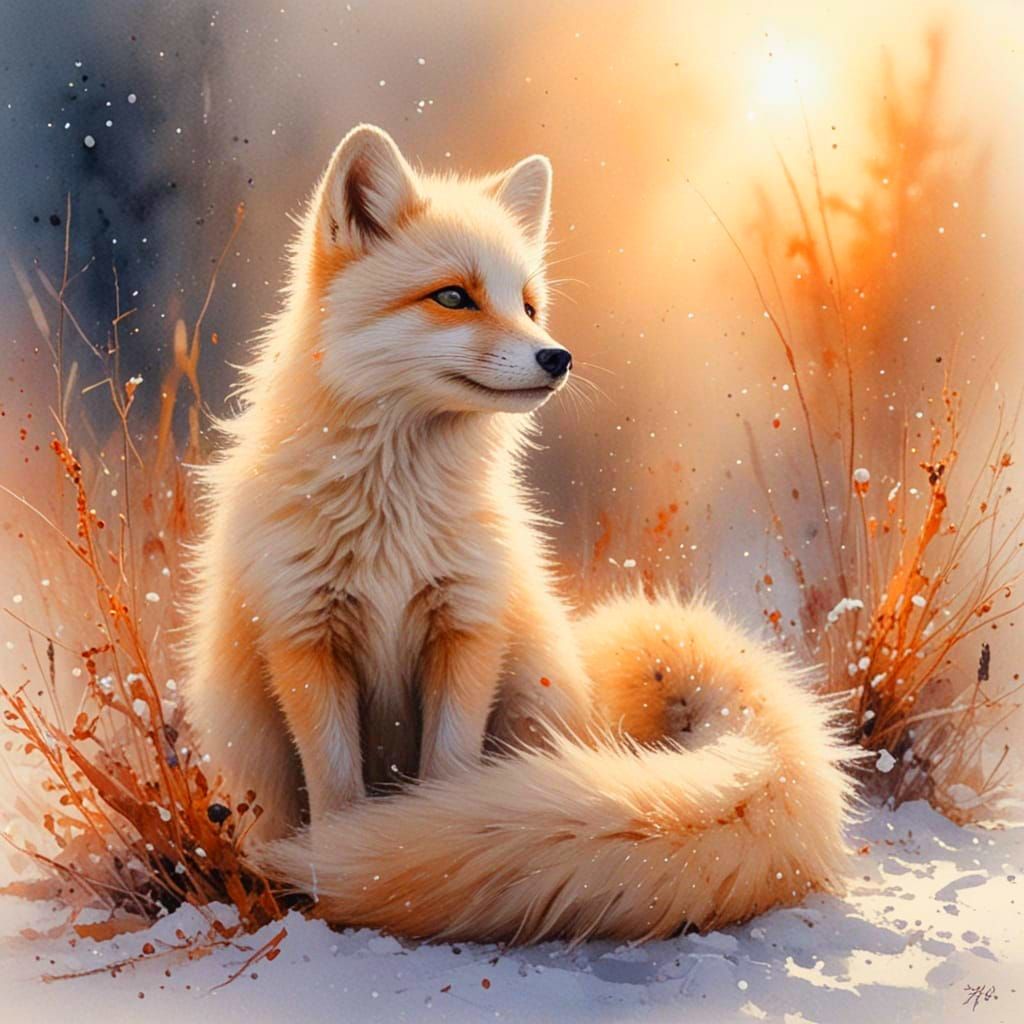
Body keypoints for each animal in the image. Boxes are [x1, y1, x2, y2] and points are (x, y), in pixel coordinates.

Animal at [184, 124, 854, 944]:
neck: (392, 525)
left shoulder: (467, 629)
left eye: (529, 305)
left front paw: (401, 853)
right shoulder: (305, 639)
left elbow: (445, 782)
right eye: (453, 296)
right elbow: (337, 790)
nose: (557, 356)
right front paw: (339, 873)